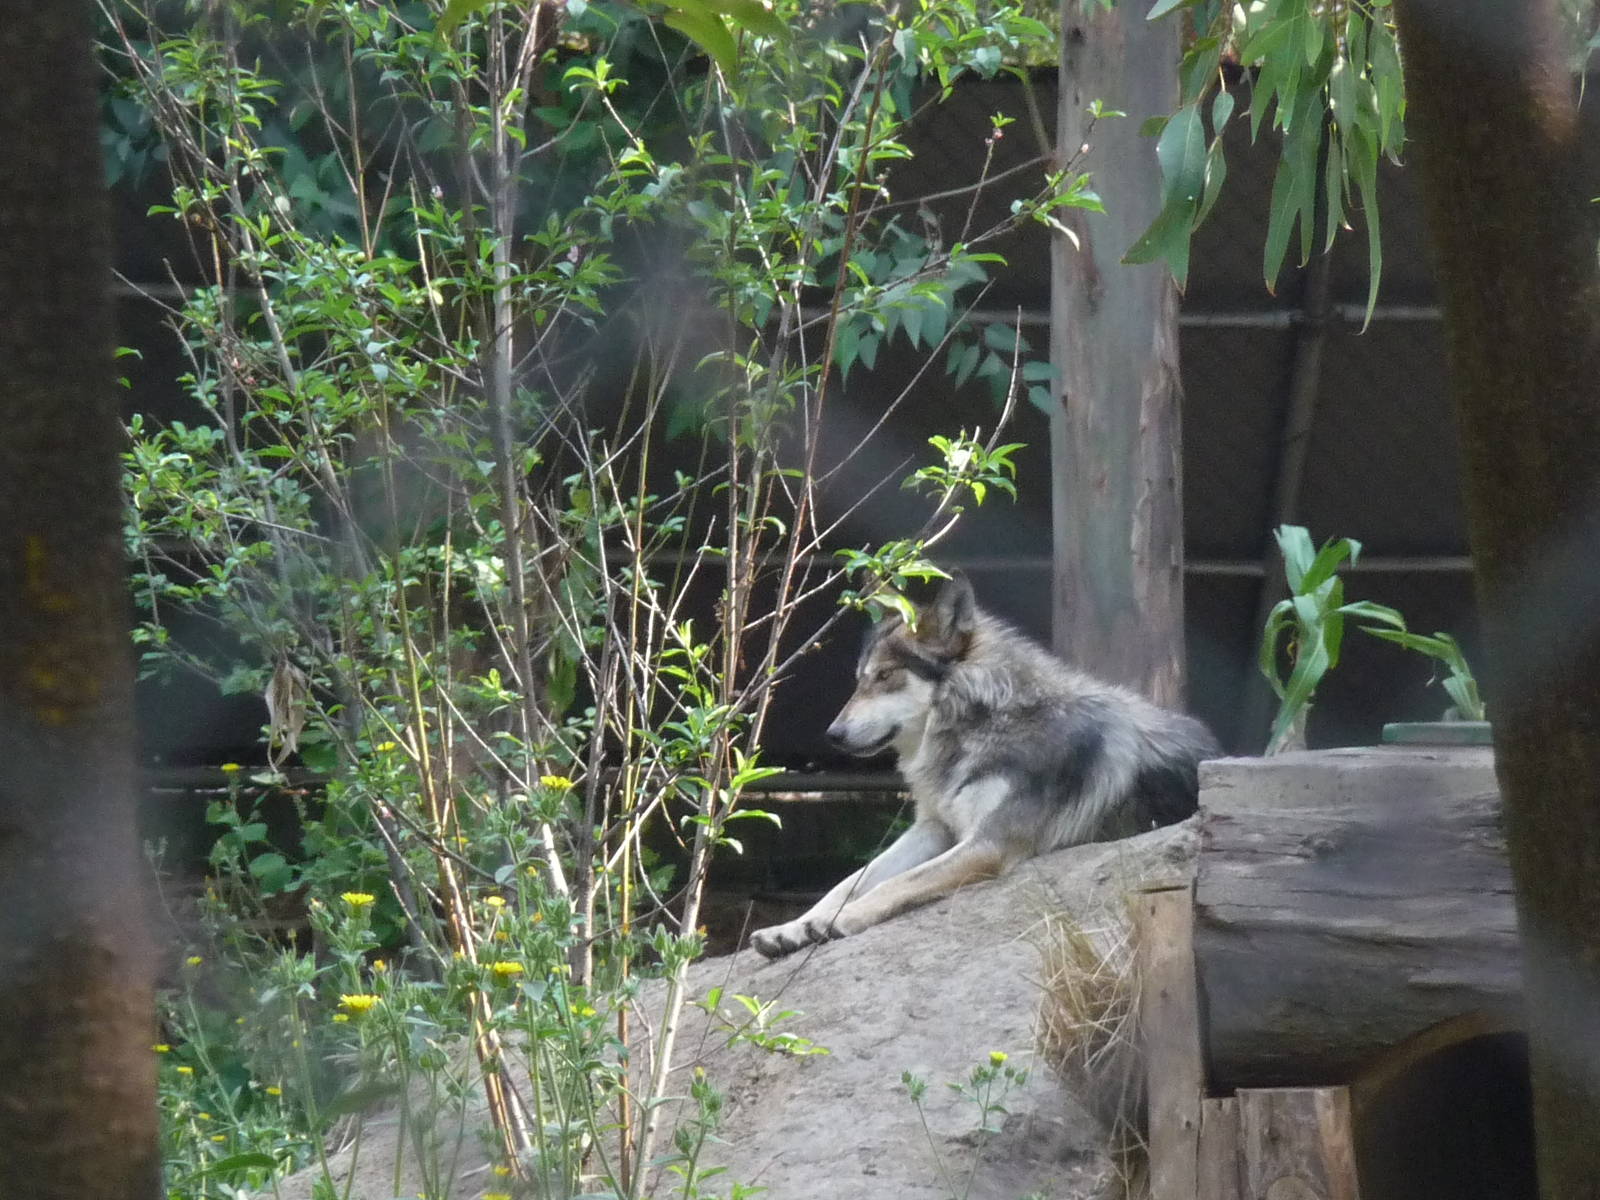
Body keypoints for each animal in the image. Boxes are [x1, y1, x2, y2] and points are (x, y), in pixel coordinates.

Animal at [750, 574, 1219, 959]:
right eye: (860, 680)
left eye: (885, 676)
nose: (832, 734)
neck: (983, 723)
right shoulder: (935, 827)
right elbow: (848, 881)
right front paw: (793, 927)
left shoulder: (988, 843)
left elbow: (893, 883)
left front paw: (836, 921)